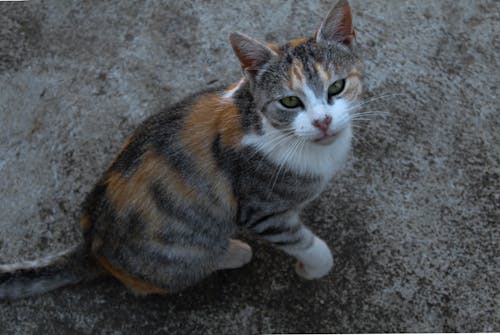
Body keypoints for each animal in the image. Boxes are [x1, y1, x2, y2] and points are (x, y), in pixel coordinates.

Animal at [0, 0, 362, 300]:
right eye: (289, 101)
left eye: (336, 86)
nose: (323, 121)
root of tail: (92, 246)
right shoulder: (262, 209)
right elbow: (302, 241)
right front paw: (314, 266)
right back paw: (233, 252)